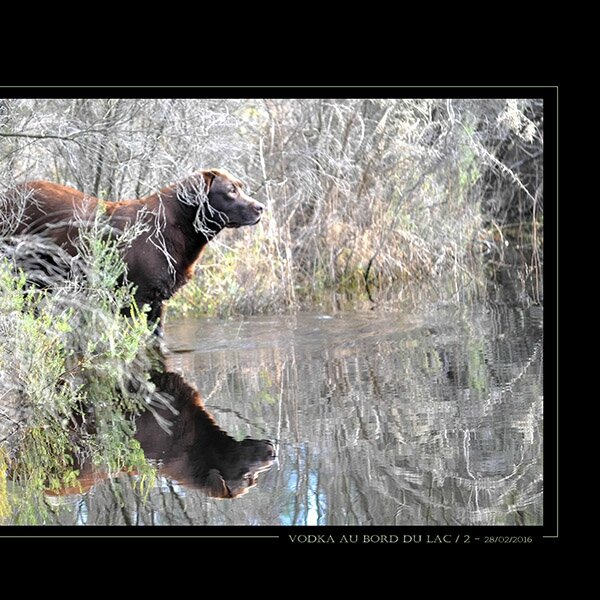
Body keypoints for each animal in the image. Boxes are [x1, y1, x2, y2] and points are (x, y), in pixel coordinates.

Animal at [4, 170, 262, 332]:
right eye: (231, 190)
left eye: (241, 187)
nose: (260, 208)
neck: (176, 226)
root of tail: (7, 195)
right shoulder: (137, 299)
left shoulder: (157, 302)